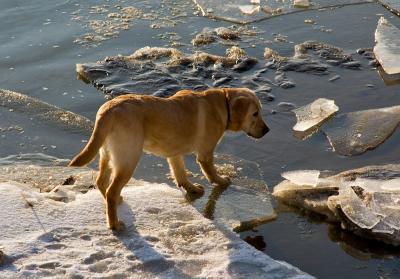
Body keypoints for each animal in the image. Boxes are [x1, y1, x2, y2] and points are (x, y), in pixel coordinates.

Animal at [69, 88, 268, 231]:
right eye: (255, 113)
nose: (267, 130)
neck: (223, 102)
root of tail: (108, 109)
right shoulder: (205, 153)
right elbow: (211, 172)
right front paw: (222, 181)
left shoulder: (174, 153)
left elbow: (180, 173)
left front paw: (192, 188)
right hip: (128, 158)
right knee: (111, 190)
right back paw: (114, 224)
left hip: (107, 154)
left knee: (101, 181)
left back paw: (116, 202)